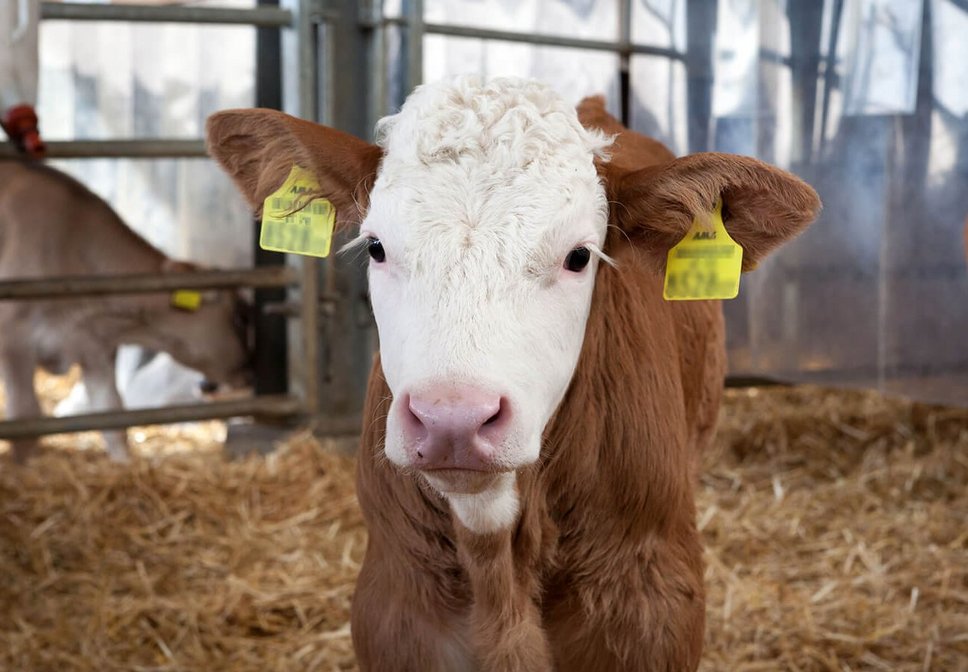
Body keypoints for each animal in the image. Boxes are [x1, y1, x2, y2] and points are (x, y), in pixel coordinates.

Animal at [0, 158, 250, 462]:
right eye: (239, 317)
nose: (251, 369)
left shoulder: (95, 347)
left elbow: (112, 416)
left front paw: (125, 465)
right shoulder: (15, 343)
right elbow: (25, 419)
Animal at [208, 79, 820, 672]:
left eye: (580, 256)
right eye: (377, 247)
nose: (452, 420)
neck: (497, 558)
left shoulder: (651, 607)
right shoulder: (396, 606)